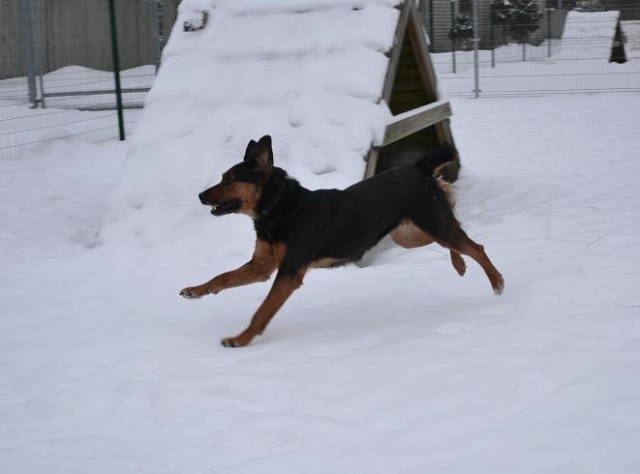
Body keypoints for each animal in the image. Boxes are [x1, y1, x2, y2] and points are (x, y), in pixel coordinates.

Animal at [180, 135, 504, 347]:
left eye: (229, 179)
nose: (199, 196)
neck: (277, 207)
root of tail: (419, 167)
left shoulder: (290, 272)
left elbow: (263, 310)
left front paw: (241, 338)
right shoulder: (262, 266)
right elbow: (222, 277)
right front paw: (196, 290)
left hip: (430, 224)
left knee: (475, 246)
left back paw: (497, 281)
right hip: (409, 233)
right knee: (455, 236)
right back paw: (460, 264)